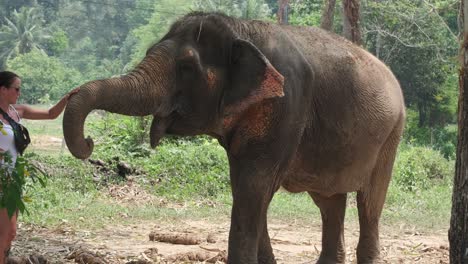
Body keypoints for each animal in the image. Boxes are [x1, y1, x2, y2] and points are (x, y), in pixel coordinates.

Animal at [63, 11, 406, 262]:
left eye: (187, 67)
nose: (89, 143)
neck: (241, 29)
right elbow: (247, 188)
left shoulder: (287, 104)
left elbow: (254, 187)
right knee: (330, 201)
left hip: (392, 134)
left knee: (370, 202)